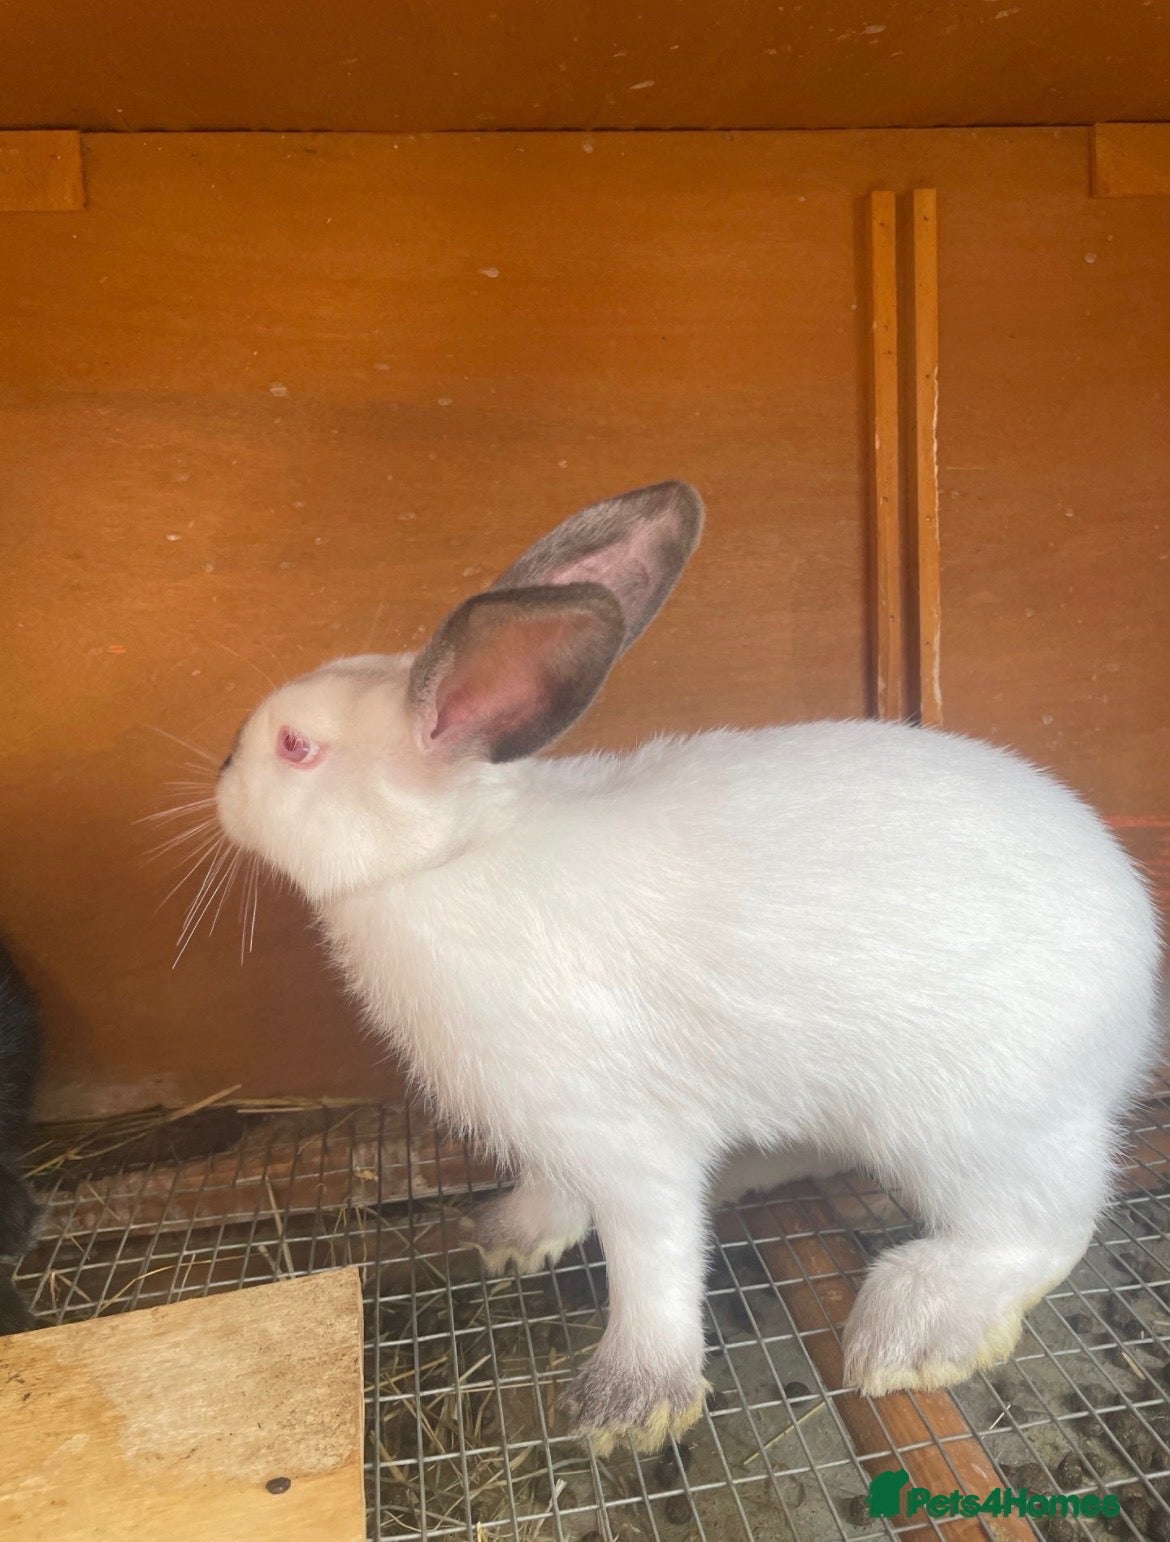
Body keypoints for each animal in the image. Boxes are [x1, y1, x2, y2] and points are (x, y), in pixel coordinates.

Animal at [216, 480, 1162, 1452]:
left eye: (294, 747)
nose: (220, 779)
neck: (451, 857)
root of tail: (1137, 970)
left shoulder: (620, 1135)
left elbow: (653, 1258)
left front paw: (631, 1405)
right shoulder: (553, 1129)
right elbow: (559, 1193)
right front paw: (513, 1236)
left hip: (979, 1127)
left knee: (1047, 1225)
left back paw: (916, 1329)